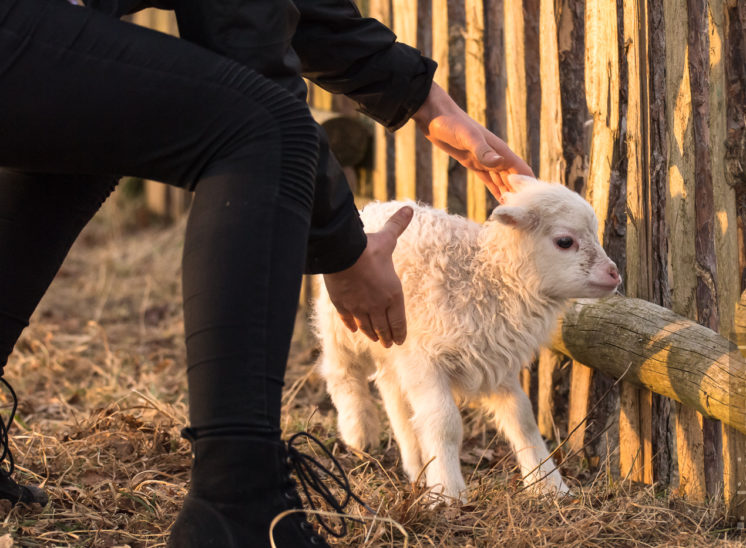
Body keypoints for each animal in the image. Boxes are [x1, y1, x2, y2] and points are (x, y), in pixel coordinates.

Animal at [310, 176, 620, 500]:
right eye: (564, 241)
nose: (614, 274)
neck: (486, 279)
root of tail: (376, 206)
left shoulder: (496, 361)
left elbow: (523, 419)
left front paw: (549, 485)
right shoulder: (426, 359)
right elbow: (444, 422)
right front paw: (448, 491)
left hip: (392, 345)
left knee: (393, 394)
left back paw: (415, 464)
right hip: (342, 324)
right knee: (342, 374)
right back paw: (359, 432)